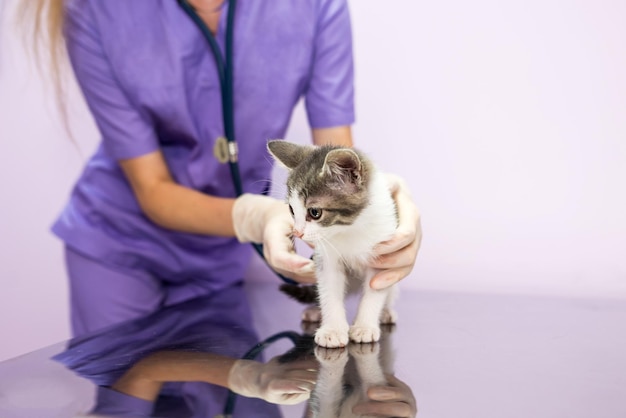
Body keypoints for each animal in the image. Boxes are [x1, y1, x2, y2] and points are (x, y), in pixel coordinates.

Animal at [266, 140, 394, 350]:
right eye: (291, 209)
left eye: (315, 212)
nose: (297, 232)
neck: (349, 229)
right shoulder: (325, 259)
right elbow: (329, 289)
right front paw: (332, 330)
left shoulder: (384, 251)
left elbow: (375, 290)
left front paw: (365, 326)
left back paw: (386, 312)